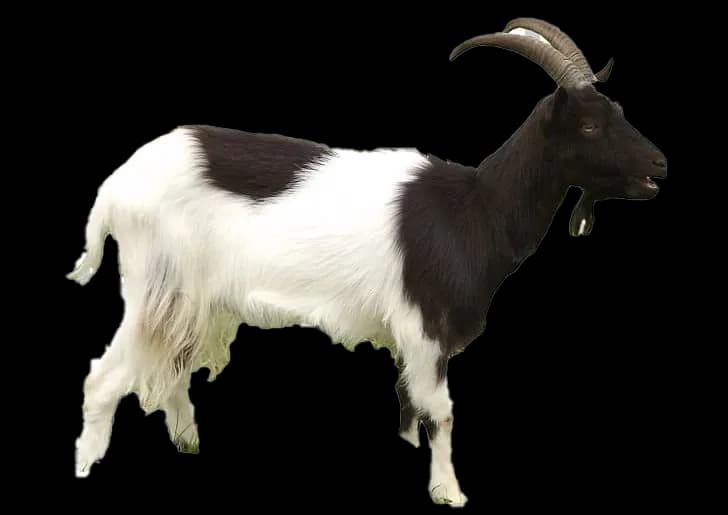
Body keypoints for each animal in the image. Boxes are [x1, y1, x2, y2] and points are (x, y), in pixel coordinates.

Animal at [68, 18, 666, 506]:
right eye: (588, 126)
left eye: (617, 113)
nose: (660, 165)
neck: (476, 209)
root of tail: (114, 188)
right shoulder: (425, 325)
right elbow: (440, 410)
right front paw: (448, 492)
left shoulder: (408, 337)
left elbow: (406, 402)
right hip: (159, 284)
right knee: (104, 377)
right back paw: (87, 467)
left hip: (194, 300)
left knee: (171, 368)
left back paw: (188, 441)